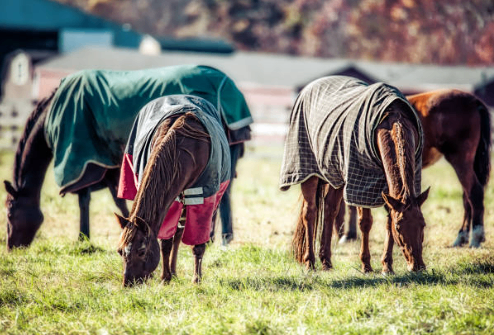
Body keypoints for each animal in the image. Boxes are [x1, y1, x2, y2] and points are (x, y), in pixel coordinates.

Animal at [3, 65, 251, 251]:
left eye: (9, 212)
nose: (11, 247)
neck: (51, 117)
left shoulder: (84, 160)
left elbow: (85, 199)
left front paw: (84, 236)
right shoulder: (108, 166)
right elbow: (116, 198)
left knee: (221, 195)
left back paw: (217, 238)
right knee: (222, 194)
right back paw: (216, 237)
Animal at [114, 96, 230, 288]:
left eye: (142, 251)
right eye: (120, 251)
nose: (128, 283)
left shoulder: (203, 197)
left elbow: (197, 241)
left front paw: (196, 279)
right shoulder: (171, 200)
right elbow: (166, 241)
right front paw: (165, 277)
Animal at [282, 77, 428, 276]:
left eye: (423, 224)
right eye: (400, 227)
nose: (418, 266)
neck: (393, 120)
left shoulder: (384, 188)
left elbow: (388, 219)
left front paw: (387, 266)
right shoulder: (362, 183)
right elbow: (365, 222)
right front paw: (366, 265)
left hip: (334, 175)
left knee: (329, 210)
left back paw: (326, 262)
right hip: (307, 171)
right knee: (309, 213)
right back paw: (310, 262)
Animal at [338, 90, 492, 248]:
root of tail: (474, 101)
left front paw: (348, 235)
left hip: (460, 160)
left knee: (474, 193)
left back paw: (475, 238)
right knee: (467, 198)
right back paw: (462, 237)